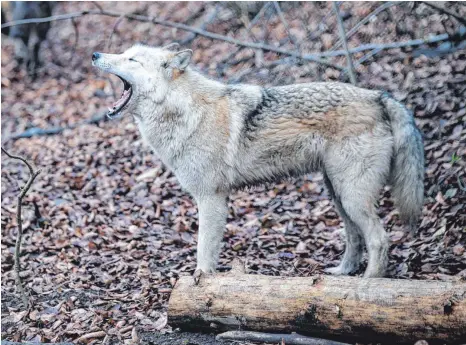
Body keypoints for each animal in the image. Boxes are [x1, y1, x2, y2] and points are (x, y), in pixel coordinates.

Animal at [93, 43, 424, 280]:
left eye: (132, 60)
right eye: (124, 53)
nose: (95, 54)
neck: (184, 112)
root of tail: (379, 96)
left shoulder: (211, 199)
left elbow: (203, 250)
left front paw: (200, 283)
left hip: (352, 195)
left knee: (380, 239)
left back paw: (369, 284)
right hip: (339, 194)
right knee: (355, 238)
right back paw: (343, 274)